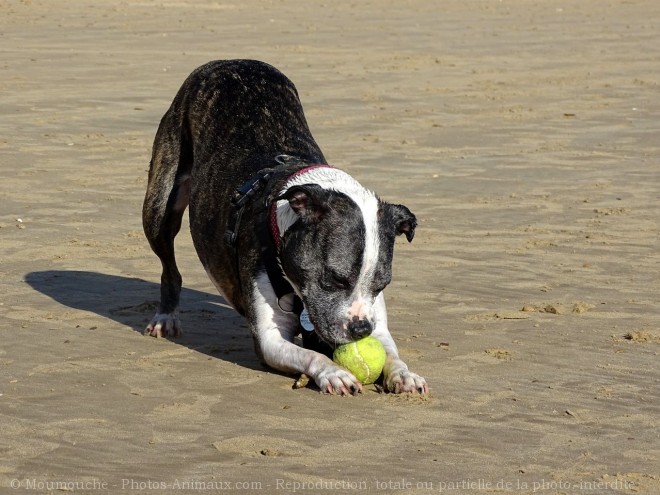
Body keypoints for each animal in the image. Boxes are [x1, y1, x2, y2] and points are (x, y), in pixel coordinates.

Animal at [142, 60, 426, 398]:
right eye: (334, 278)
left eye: (382, 285)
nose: (360, 329)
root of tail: (227, 62)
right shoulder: (269, 338)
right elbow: (312, 354)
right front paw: (333, 372)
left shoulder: (377, 323)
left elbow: (390, 352)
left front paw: (403, 373)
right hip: (159, 207)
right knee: (168, 263)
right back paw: (166, 316)